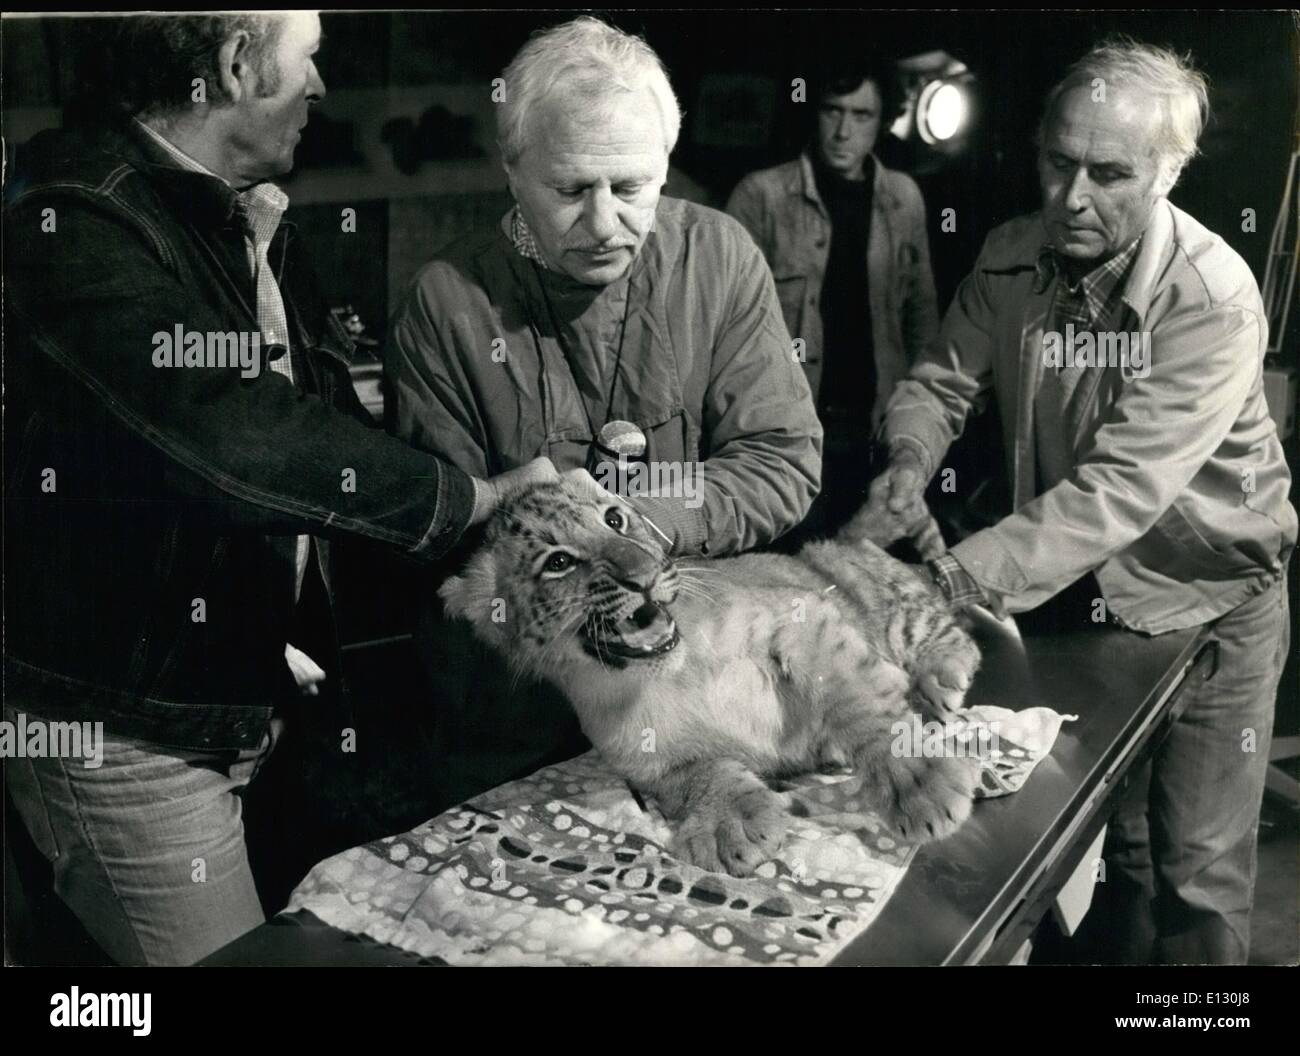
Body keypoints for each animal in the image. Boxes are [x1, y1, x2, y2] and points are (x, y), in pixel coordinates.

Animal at [440, 474, 982, 877]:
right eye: (558, 562)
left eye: (615, 518)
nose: (642, 574)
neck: (670, 674)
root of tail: (841, 538)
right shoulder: (647, 760)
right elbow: (706, 775)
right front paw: (731, 826)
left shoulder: (804, 618)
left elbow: (856, 702)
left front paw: (920, 782)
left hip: (874, 596)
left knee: (954, 637)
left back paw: (940, 683)